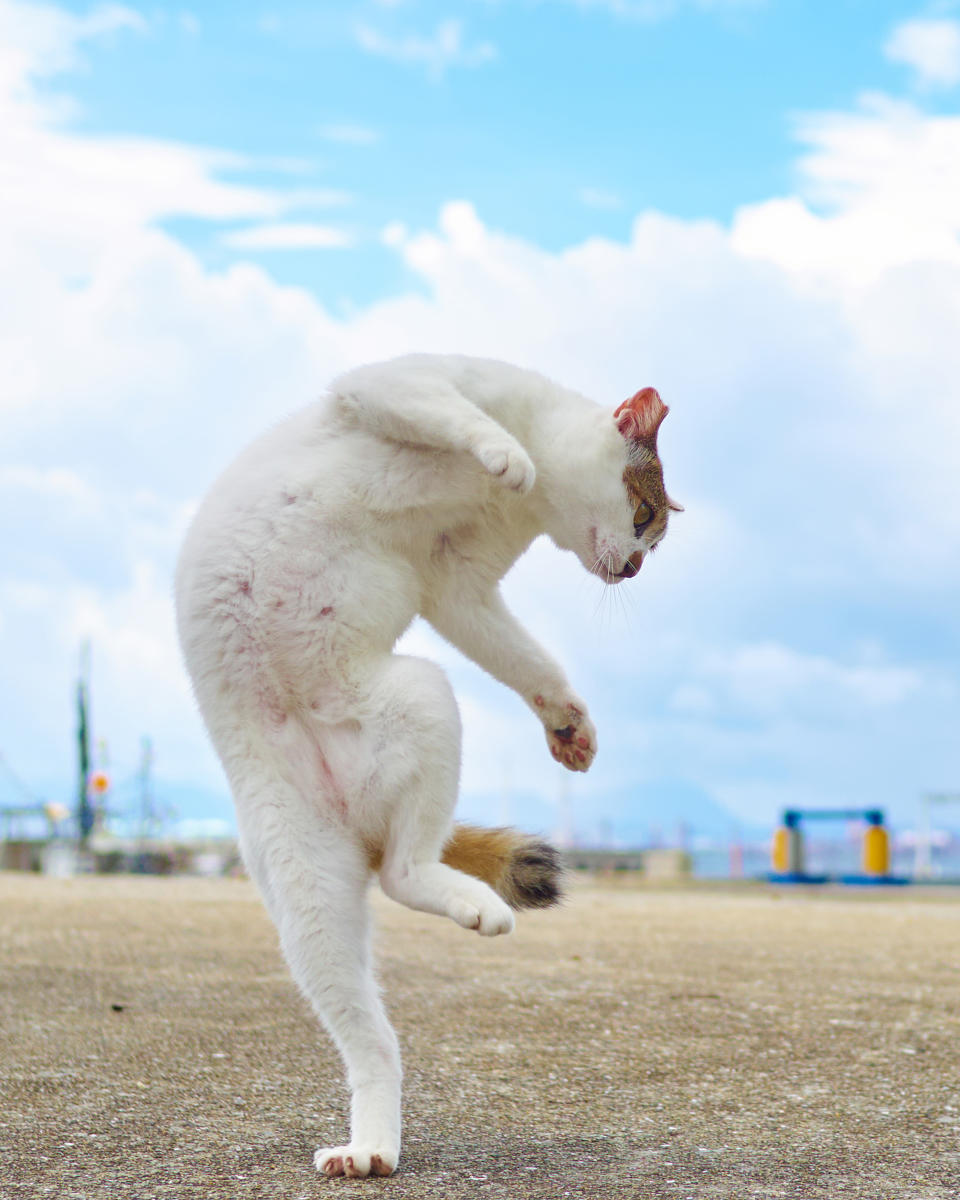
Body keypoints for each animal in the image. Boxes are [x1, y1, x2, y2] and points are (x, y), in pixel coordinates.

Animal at [176, 355, 676, 1180]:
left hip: (394, 749)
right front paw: (505, 453)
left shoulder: (460, 582)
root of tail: (361, 826)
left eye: (652, 537)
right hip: (327, 839)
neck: (521, 505)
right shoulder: (392, 386)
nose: (635, 569)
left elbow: (524, 658)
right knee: (390, 918)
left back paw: (373, 1143)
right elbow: (455, 412)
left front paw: (568, 720)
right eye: (643, 517)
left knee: (393, 914)